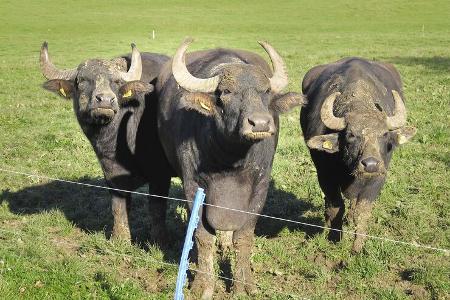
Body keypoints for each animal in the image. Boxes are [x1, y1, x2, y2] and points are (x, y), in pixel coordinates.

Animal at [38, 42, 171, 243]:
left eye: (116, 82)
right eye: (82, 80)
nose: (106, 100)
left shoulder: (160, 174)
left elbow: (156, 209)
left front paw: (159, 241)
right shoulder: (110, 172)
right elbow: (118, 206)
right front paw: (120, 239)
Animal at [155, 38, 306, 298]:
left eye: (265, 92)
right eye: (226, 92)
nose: (260, 123)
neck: (230, 162)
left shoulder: (260, 187)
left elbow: (243, 236)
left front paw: (243, 285)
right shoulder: (192, 186)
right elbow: (203, 236)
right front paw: (204, 284)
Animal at [300, 56, 416, 253]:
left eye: (384, 134)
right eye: (351, 135)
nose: (370, 164)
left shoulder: (378, 178)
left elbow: (362, 212)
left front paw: (357, 248)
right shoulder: (325, 176)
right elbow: (335, 207)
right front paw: (334, 237)